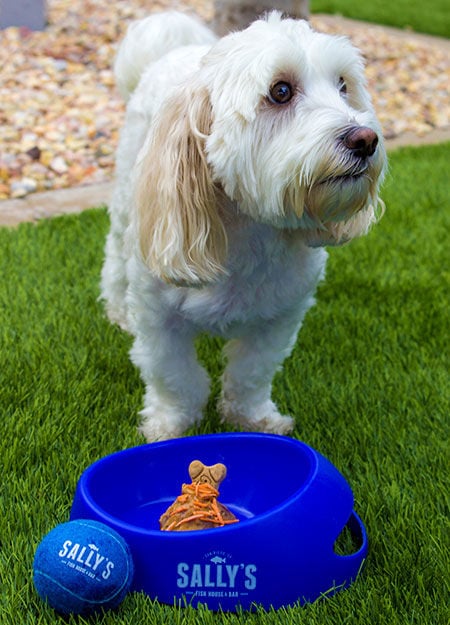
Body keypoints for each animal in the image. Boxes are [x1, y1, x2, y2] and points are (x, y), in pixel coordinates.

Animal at [102, 9, 386, 438]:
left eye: (343, 86)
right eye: (280, 91)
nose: (365, 139)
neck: (252, 228)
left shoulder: (280, 316)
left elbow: (252, 372)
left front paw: (252, 417)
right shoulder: (157, 318)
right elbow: (175, 377)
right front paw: (171, 424)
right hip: (127, 207)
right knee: (115, 260)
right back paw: (117, 310)